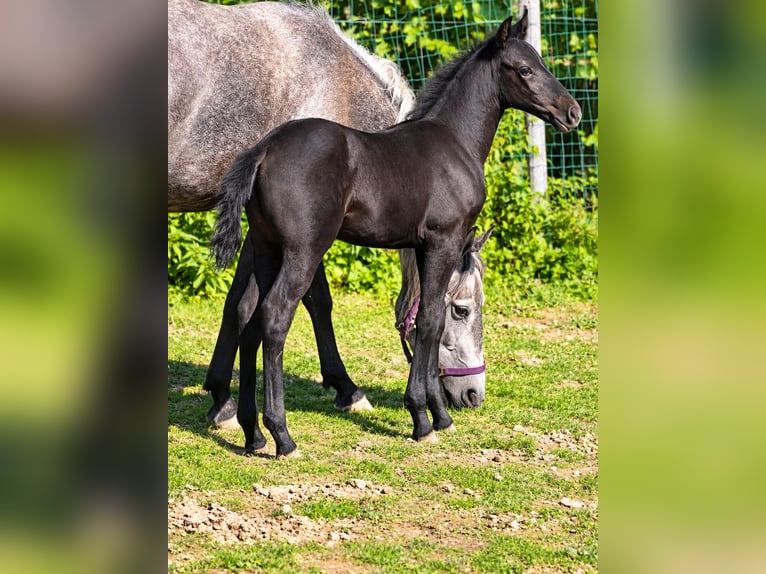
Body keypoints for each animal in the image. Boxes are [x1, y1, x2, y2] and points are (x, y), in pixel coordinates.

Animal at [168, 0, 488, 429]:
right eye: (462, 309)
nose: (473, 394)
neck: (338, 83)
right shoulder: (301, 235)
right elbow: (311, 300)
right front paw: (347, 389)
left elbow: (238, 304)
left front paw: (221, 398)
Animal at [210, 10, 581, 457]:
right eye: (524, 69)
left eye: (541, 62)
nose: (573, 112)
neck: (453, 143)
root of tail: (264, 149)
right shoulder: (444, 241)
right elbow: (431, 320)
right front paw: (424, 417)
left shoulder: (422, 246)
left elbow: (426, 320)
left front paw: (438, 413)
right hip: (304, 250)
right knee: (275, 316)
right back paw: (282, 435)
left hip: (267, 247)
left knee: (247, 315)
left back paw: (252, 433)